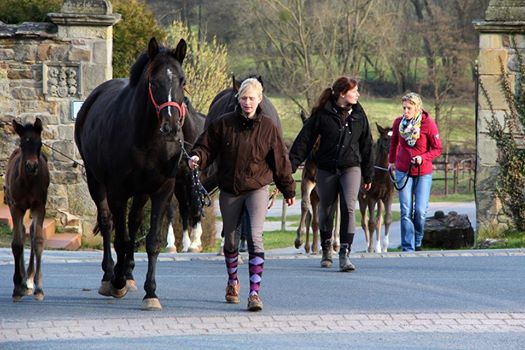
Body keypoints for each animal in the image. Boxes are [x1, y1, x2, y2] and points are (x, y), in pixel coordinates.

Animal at [74, 37, 186, 308]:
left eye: (182, 80)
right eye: (153, 81)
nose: (171, 127)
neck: (146, 139)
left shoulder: (161, 190)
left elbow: (152, 241)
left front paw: (151, 292)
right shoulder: (117, 192)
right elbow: (121, 239)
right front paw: (117, 283)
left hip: (141, 192)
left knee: (134, 222)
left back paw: (129, 273)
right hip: (95, 181)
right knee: (107, 222)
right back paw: (110, 275)